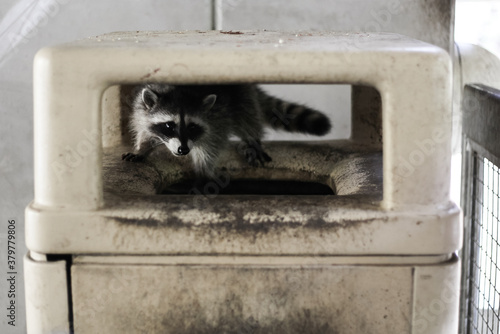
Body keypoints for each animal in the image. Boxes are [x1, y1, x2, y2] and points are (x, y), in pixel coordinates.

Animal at [121, 84, 332, 177]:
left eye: (192, 127)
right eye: (169, 125)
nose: (183, 150)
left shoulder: (217, 117)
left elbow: (211, 145)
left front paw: (203, 168)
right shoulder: (141, 108)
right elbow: (143, 129)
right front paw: (142, 148)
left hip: (241, 93)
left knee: (248, 116)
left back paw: (252, 139)